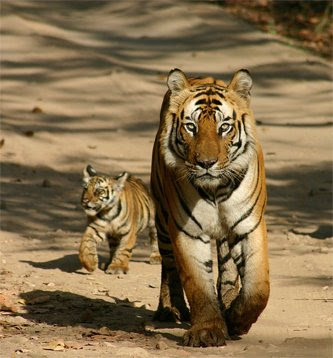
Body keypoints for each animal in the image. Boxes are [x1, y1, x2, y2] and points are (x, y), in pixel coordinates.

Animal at [150, 68, 270, 346]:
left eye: (223, 127)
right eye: (191, 127)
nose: (206, 163)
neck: (216, 190)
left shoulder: (249, 225)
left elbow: (258, 287)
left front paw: (236, 320)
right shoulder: (188, 230)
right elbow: (197, 285)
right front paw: (207, 331)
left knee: (228, 268)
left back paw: (227, 300)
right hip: (162, 219)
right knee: (168, 266)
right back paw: (170, 309)